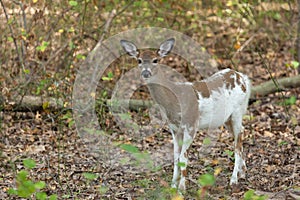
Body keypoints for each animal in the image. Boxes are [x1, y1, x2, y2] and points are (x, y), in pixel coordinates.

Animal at [119, 37, 251, 192]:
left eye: (155, 60)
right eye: (139, 60)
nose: (146, 73)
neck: (174, 101)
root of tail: (243, 78)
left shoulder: (191, 124)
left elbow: (183, 158)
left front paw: (181, 189)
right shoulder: (174, 129)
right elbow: (176, 157)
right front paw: (172, 186)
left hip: (237, 110)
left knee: (237, 141)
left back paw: (234, 179)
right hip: (227, 118)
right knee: (241, 132)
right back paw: (243, 172)